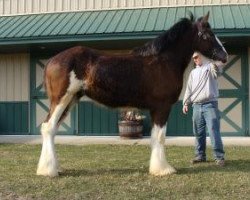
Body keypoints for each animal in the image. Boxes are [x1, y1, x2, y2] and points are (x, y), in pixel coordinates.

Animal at [36, 11, 229, 177]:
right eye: (207, 35)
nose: (224, 56)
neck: (163, 61)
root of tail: (53, 60)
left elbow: (155, 137)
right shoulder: (162, 107)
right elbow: (160, 137)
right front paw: (163, 169)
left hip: (70, 100)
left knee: (52, 129)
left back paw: (54, 168)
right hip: (61, 99)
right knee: (48, 127)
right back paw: (48, 170)